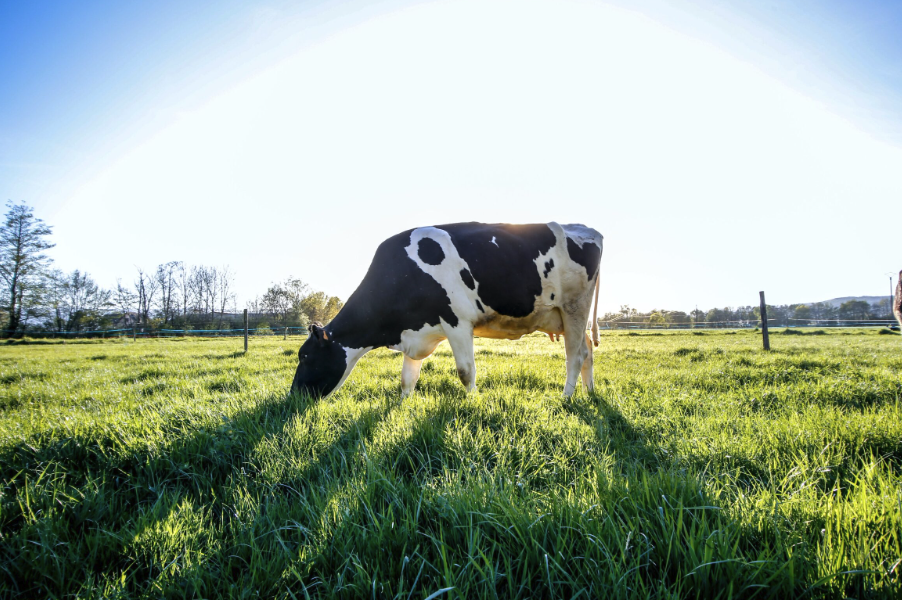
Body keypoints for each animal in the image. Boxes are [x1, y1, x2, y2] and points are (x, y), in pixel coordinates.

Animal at [294, 220, 604, 398]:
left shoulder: (457, 322)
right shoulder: (416, 330)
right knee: (587, 350)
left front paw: (473, 402)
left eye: (305, 356)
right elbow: (407, 378)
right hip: (566, 316)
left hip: (574, 308)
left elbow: (466, 371)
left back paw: (566, 398)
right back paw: (589, 392)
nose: (293, 396)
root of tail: (586, 229)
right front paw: (403, 405)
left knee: (575, 356)